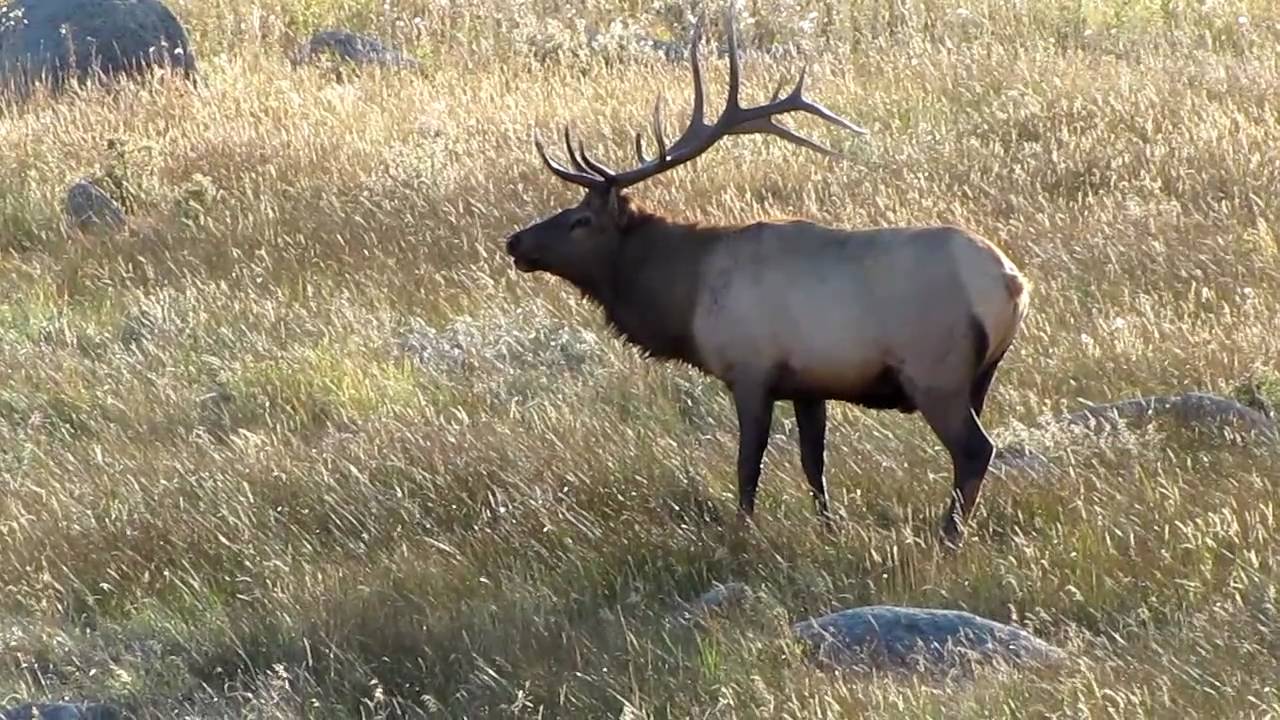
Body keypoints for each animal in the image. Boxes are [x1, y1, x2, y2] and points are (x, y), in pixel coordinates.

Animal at [503, 8, 1030, 546]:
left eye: (581, 220)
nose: (516, 242)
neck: (685, 298)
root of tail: (1012, 283)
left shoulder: (751, 369)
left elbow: (748, 464)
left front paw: (743, 531)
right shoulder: (810, 383)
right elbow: (814, 462)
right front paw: (828, 527)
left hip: (935, 371)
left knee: (974, 450)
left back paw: (947, 539)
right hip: (983, 374)